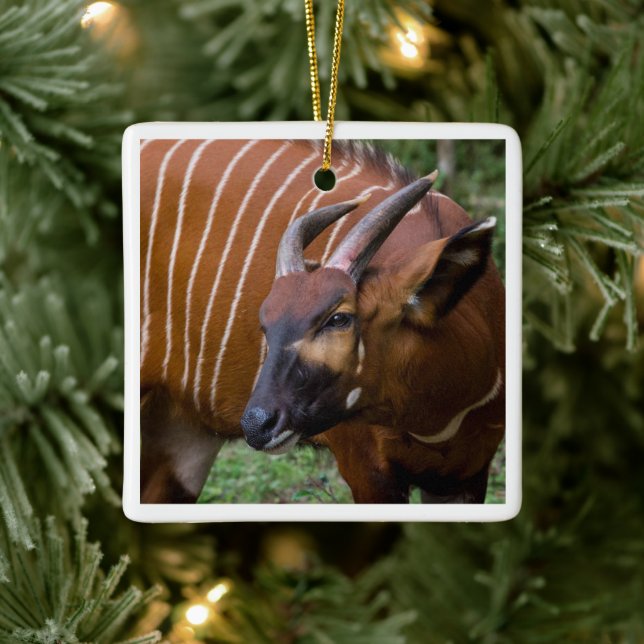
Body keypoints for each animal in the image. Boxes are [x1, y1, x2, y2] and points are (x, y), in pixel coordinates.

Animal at [140, 138, 504, 504]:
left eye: (338, 318)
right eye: (265, 323)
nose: (257, 425)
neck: (436, 418)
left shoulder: (465, 476)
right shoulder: (368, 471)